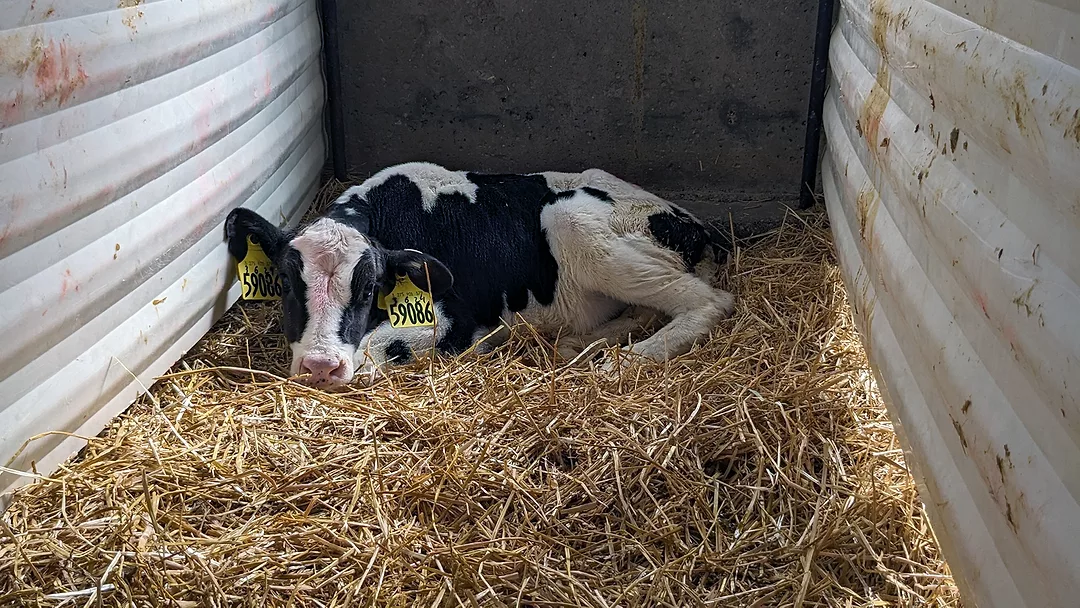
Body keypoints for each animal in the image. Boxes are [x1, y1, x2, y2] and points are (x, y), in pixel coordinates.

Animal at [225, 162, 736, 387]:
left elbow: (376, 352)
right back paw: (583, 343)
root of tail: (703, 227)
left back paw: (627, 360)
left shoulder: (458, 316)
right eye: (287, 284)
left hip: (570, 217)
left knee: (711, 301)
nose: (320, 365)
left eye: (370, 287)